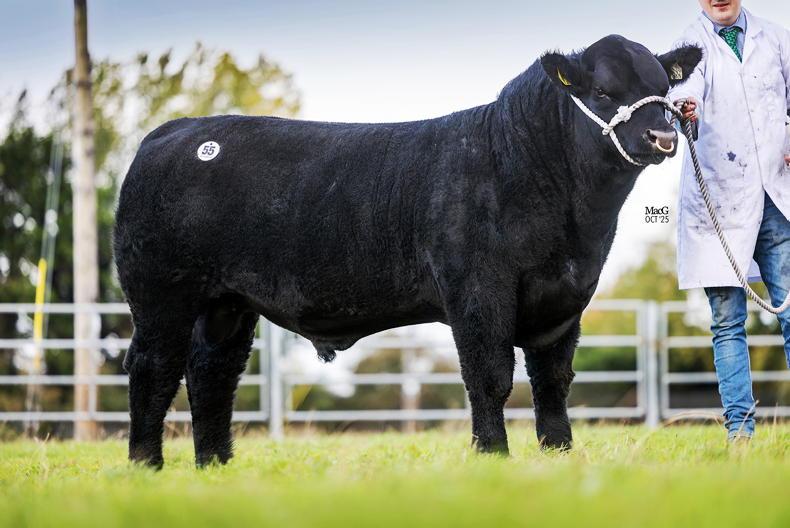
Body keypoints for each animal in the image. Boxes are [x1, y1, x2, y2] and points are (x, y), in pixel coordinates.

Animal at [114, 35, 702, 468]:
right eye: (603, 90)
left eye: (664, 89)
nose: (663, 136)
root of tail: (178, 131)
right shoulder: (478, 291)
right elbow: (489, 376)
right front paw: (493, 455)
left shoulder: (564, 298)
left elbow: (552, 380)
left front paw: (558, 454)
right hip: (161, 294)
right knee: (152, 367)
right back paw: (146, 466)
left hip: (227, 305)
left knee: (212, 373)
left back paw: (215, 465)